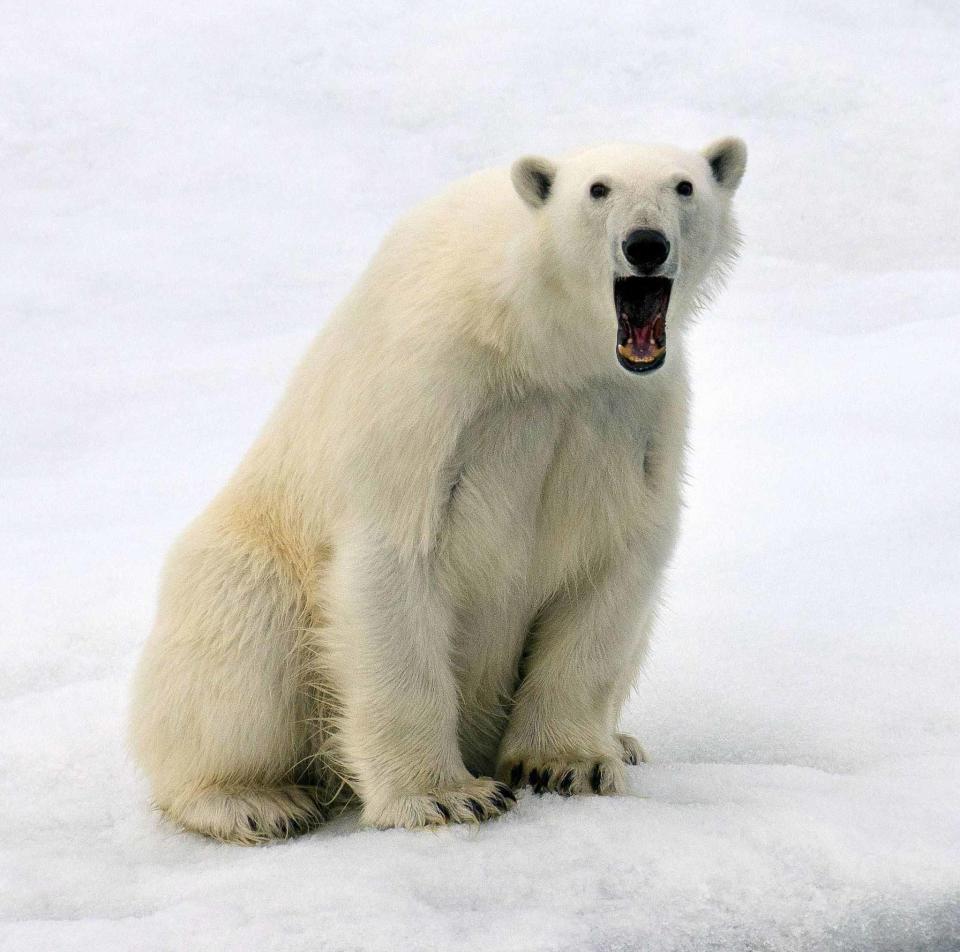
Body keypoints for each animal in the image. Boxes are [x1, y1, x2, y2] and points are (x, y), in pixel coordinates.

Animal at [131, 136, 752, 840]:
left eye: (683, 186)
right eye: (598, 189)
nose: (645, 244)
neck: (536, 337)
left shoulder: (629, 416)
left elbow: (613, 569)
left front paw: (569, 764)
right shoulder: (434, 390)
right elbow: (396, 558)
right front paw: (446, 797)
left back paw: (624, 741)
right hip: (251, 554)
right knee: (238, 636)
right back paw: (254, 799)